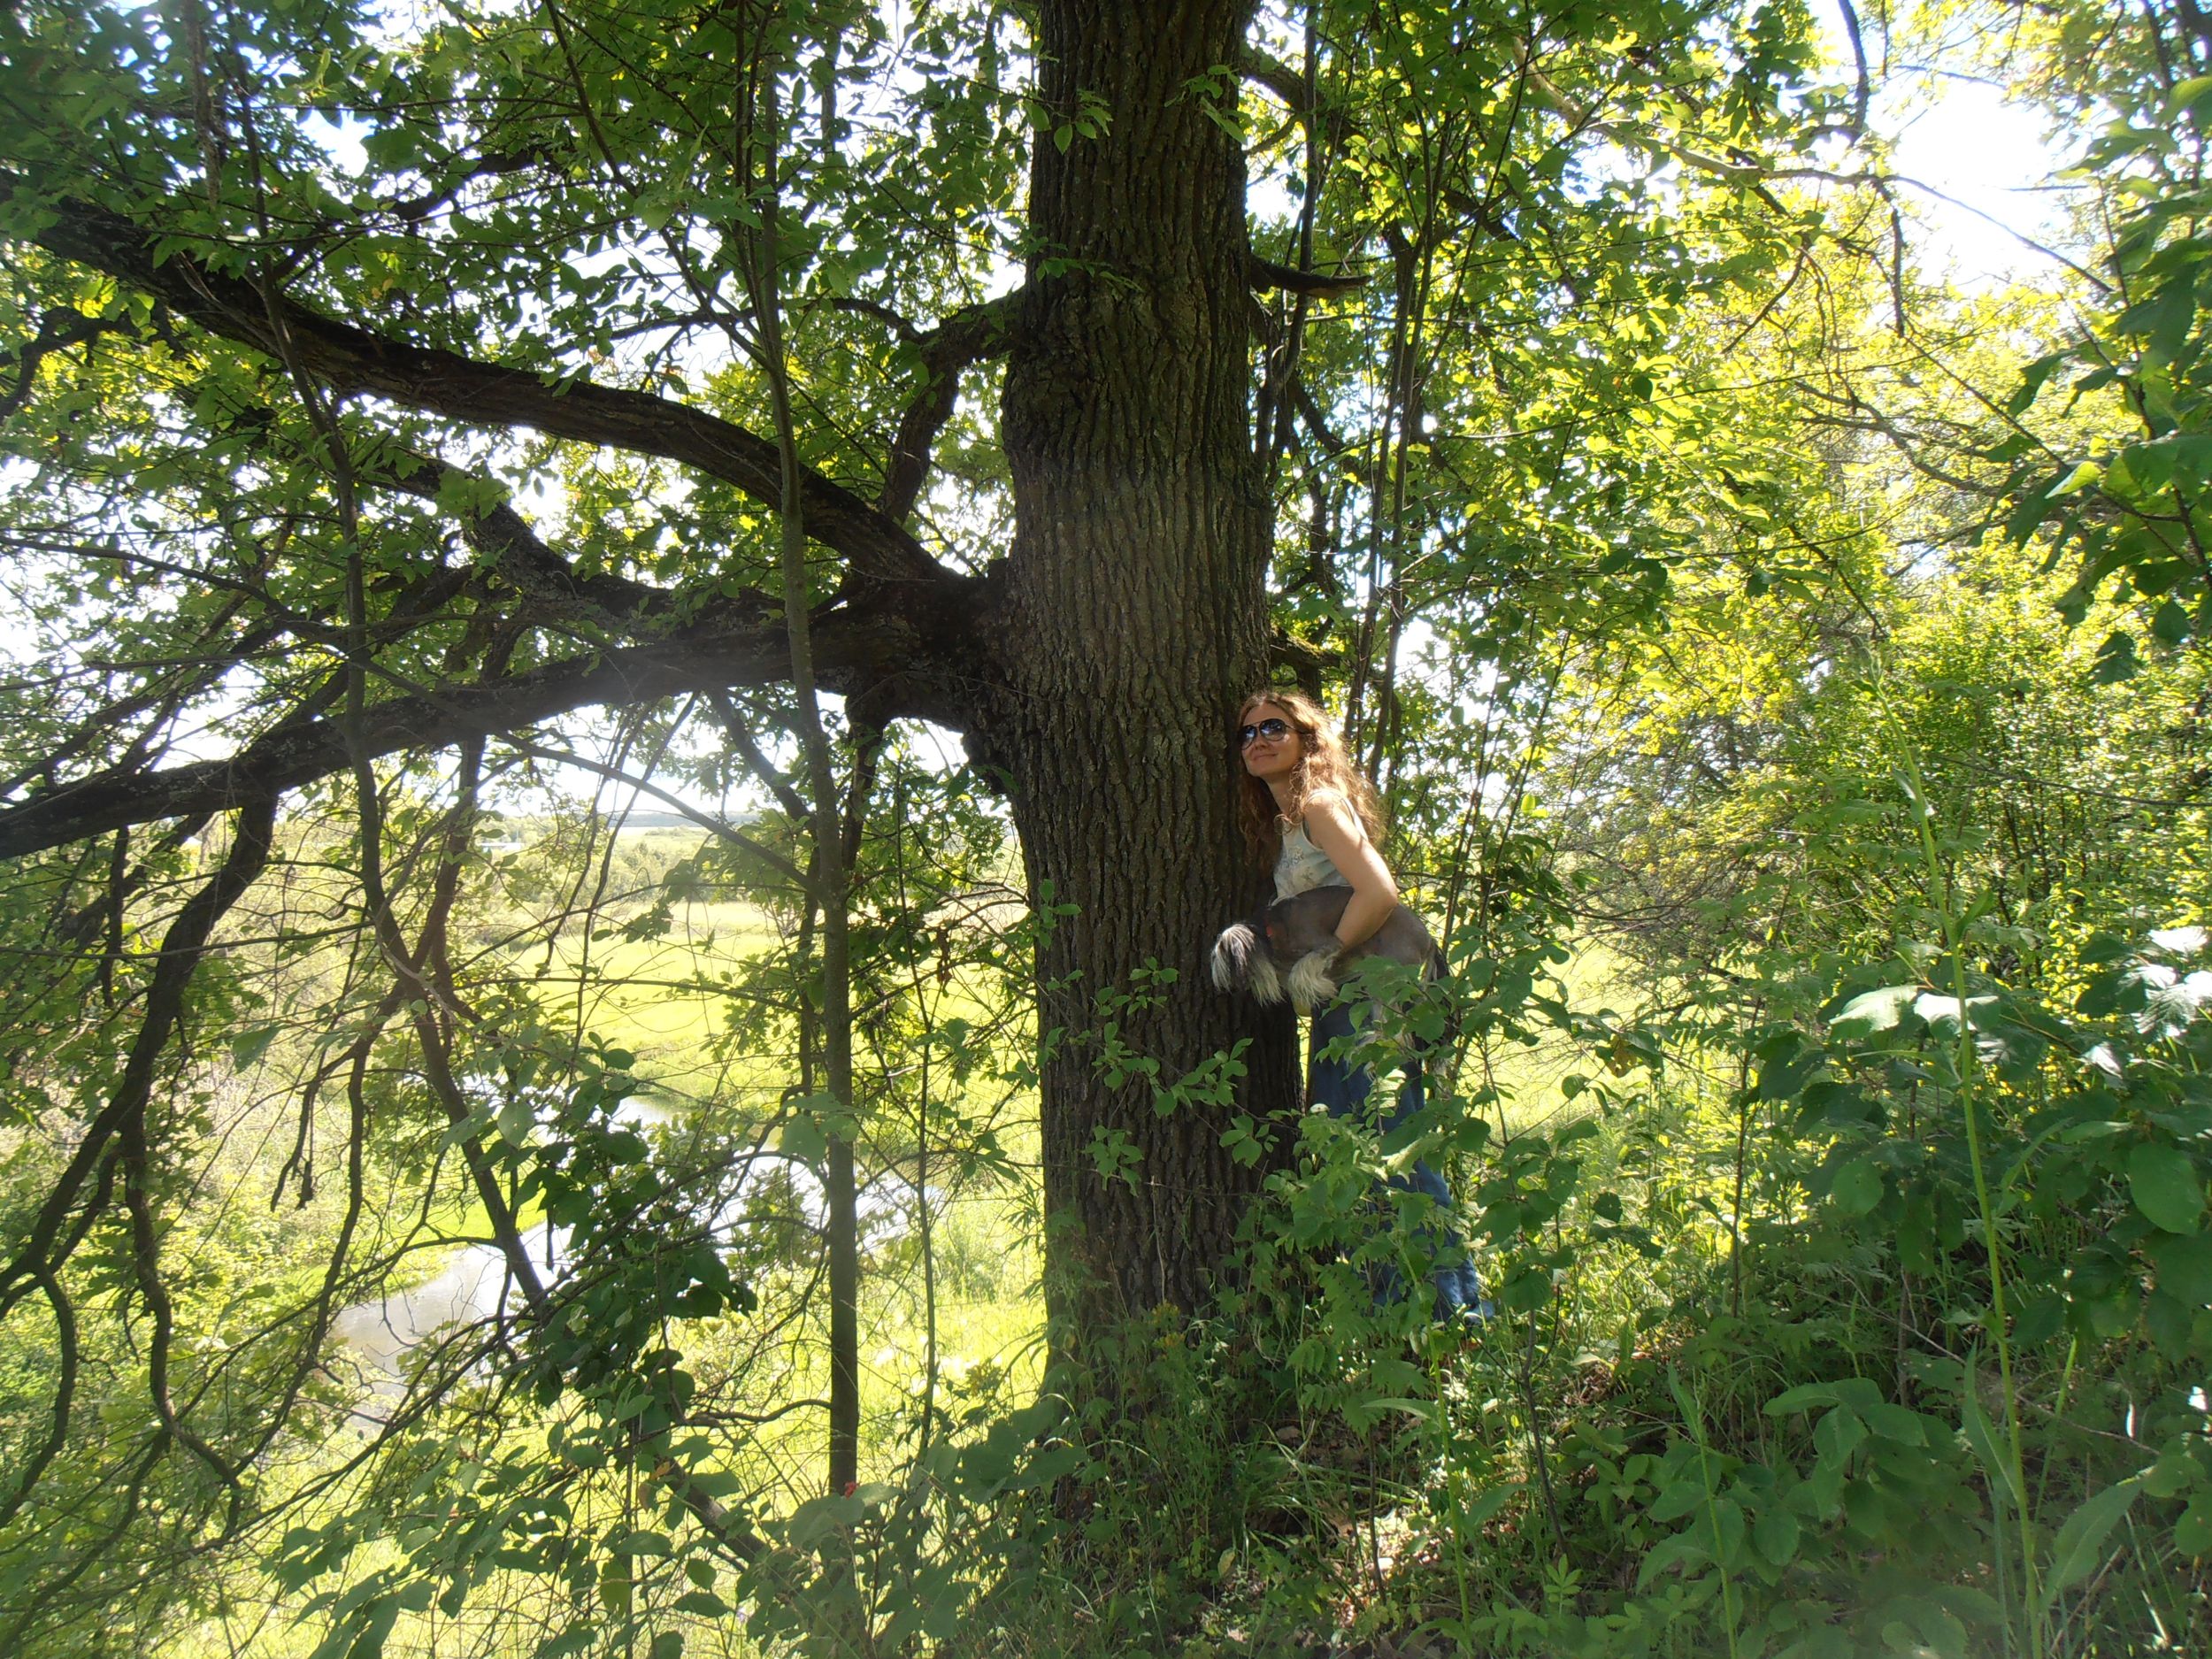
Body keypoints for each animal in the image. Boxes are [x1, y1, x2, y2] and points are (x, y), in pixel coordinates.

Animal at [1203, 889, 1442, 1022]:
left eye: (1218, 960)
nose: (1221, 988)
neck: (1273, 928)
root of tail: (1430, 939)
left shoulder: (1329, 943)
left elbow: (1300, 971)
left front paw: (1321, 987)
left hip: (1389, 975)